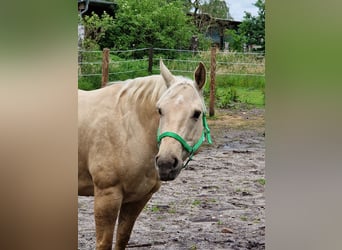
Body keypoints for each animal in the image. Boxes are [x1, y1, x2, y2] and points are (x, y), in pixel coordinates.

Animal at [79, 60, 211, 250]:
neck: (129, 129)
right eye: (160, 110)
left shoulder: (138, 199)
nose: (165, 163)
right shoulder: (107, 195)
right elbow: (104, 243)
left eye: (197, 113)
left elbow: (122, 239)